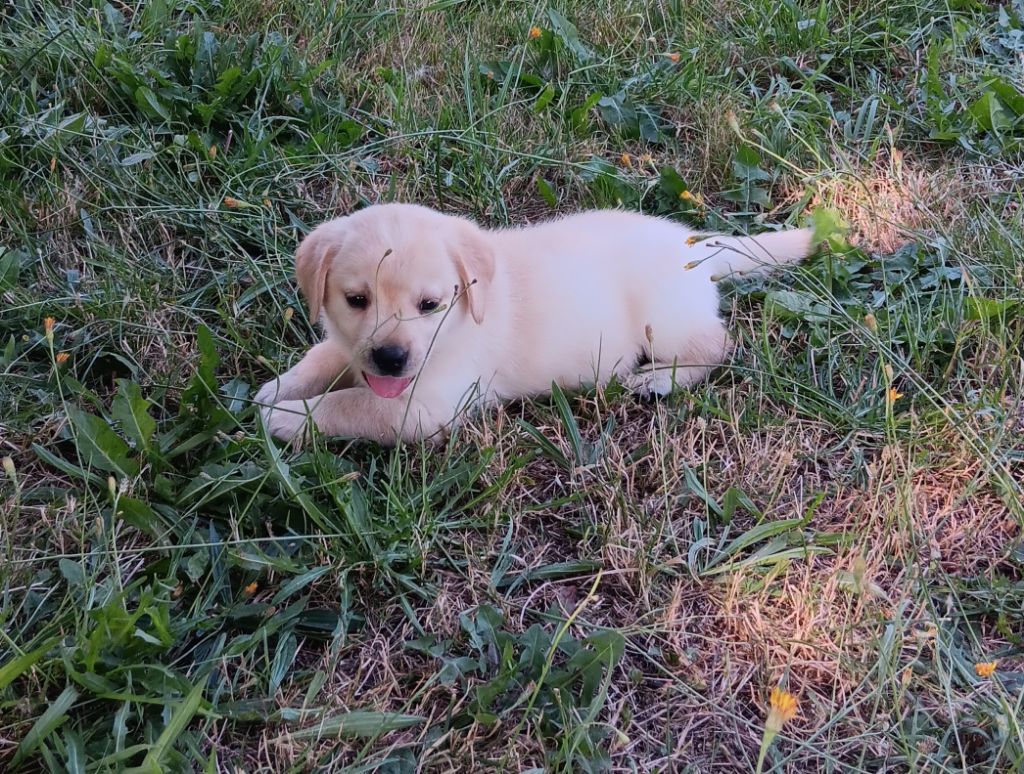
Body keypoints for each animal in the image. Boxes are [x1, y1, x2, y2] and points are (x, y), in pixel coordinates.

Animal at [256, 202, 815, 444]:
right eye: (356, 299)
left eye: (430, 304)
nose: (391, 358)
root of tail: (696, 246)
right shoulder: (350, 345)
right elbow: (324, 355)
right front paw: (277, 389)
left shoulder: (427, 407)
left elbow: (352, 406)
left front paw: (286, 417)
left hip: (666, 319)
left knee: (716, 345)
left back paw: (657, 380)